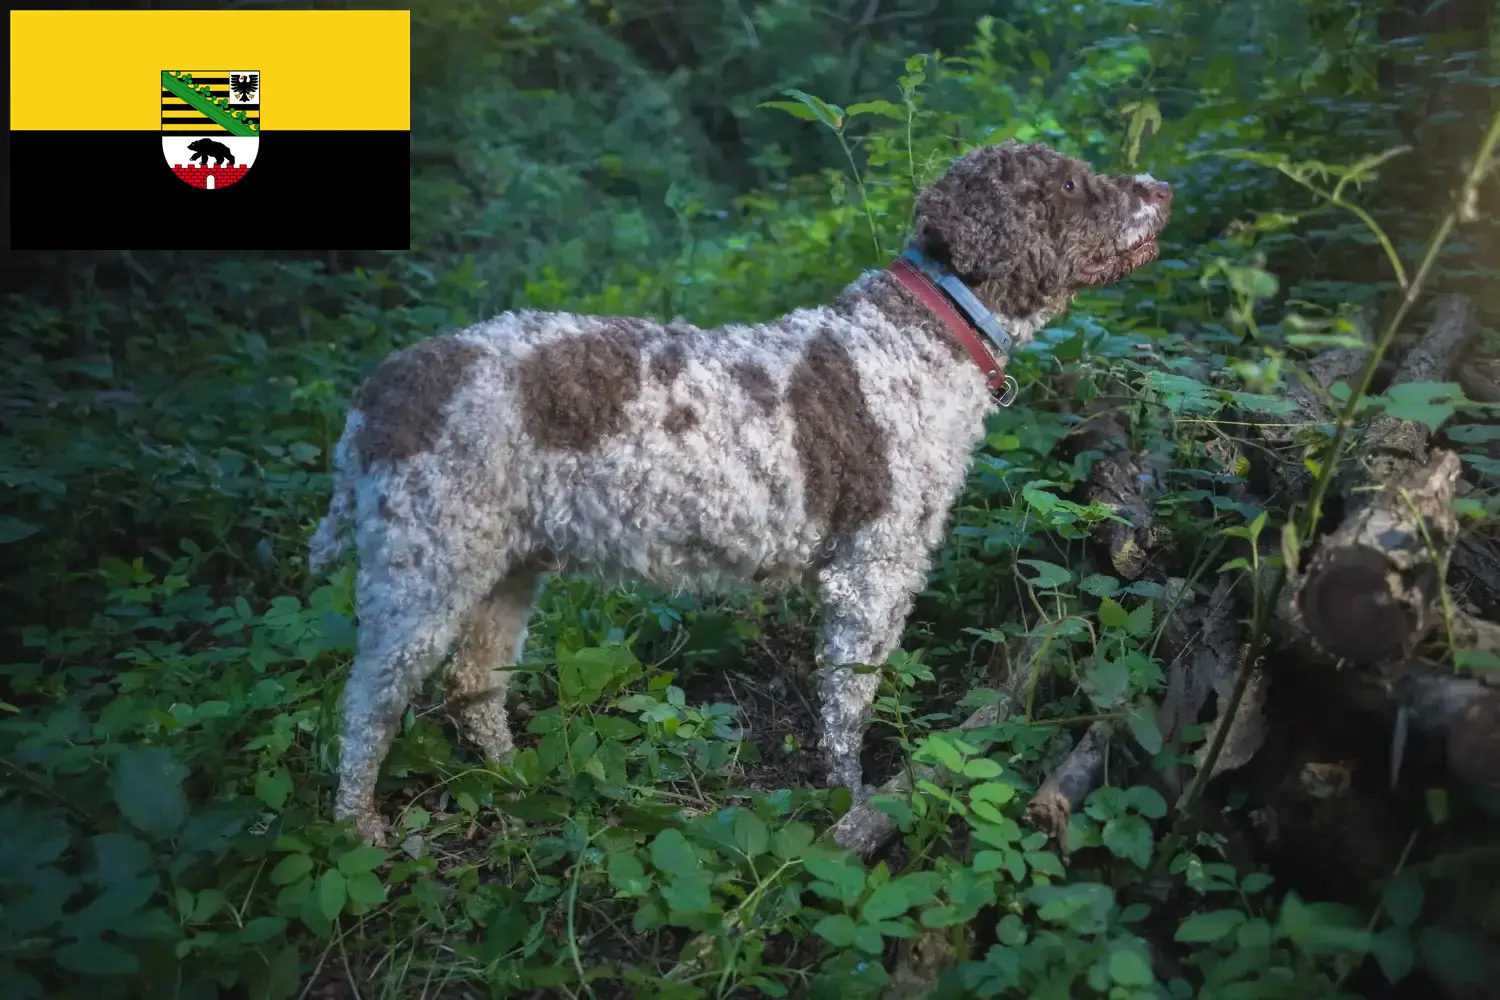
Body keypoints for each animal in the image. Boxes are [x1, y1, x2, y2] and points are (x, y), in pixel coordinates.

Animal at [307, 140, 1170, 845]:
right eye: (1071, 182)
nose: (1161, 187)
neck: (917, 336)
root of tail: (382, 388)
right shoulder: (871, 573)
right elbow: (848, 705)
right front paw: (853, 805)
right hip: (423, 573)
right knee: (366, 706)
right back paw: (357, 828)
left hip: (507, 568)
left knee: (472, 685)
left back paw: (515, 780)